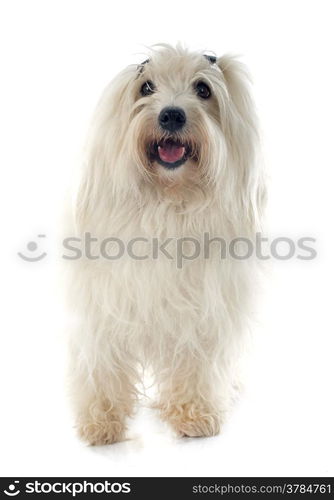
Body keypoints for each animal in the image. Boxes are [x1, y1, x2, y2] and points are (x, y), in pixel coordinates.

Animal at [68, 44, 266, 446]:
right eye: (146, 87)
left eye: (203, 89)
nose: (171, 114)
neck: (169, 201)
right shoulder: (103, 308)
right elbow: (101, 362)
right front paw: (101, 421)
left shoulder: (205, 312)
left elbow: (198, 361)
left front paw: (195, 414)